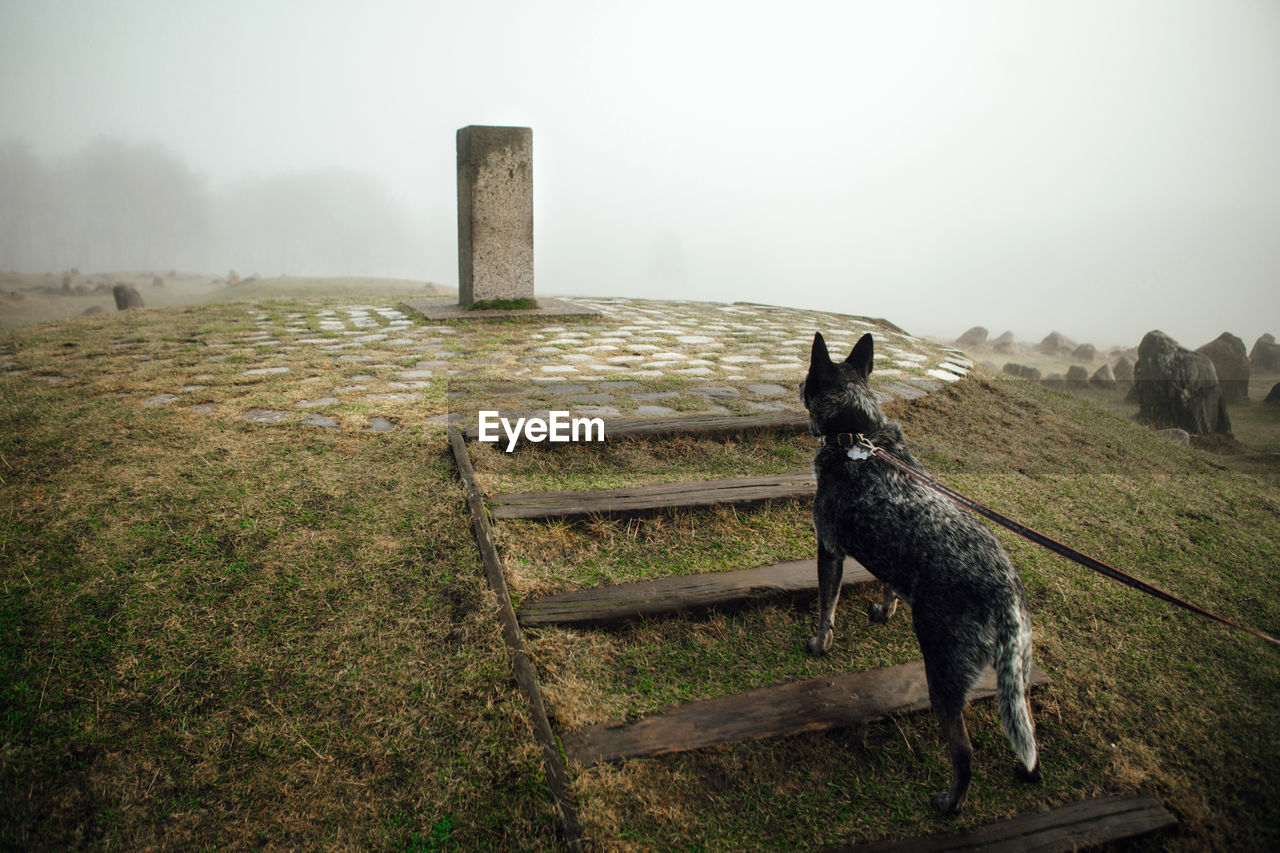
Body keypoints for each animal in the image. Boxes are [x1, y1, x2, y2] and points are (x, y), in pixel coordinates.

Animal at [798, 330, 1039, 809]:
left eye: (808, 380)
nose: (796, 386)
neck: (857, 436)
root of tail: (1005, 595)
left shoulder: (829, 549)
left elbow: (825, 609)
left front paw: (820, 645)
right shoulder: (890, 556)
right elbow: (889, 586)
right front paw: (884, 612)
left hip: (942, 675)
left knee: (964, 753)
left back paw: (949, 804)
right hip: (1014, 676)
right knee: (1024, 727)